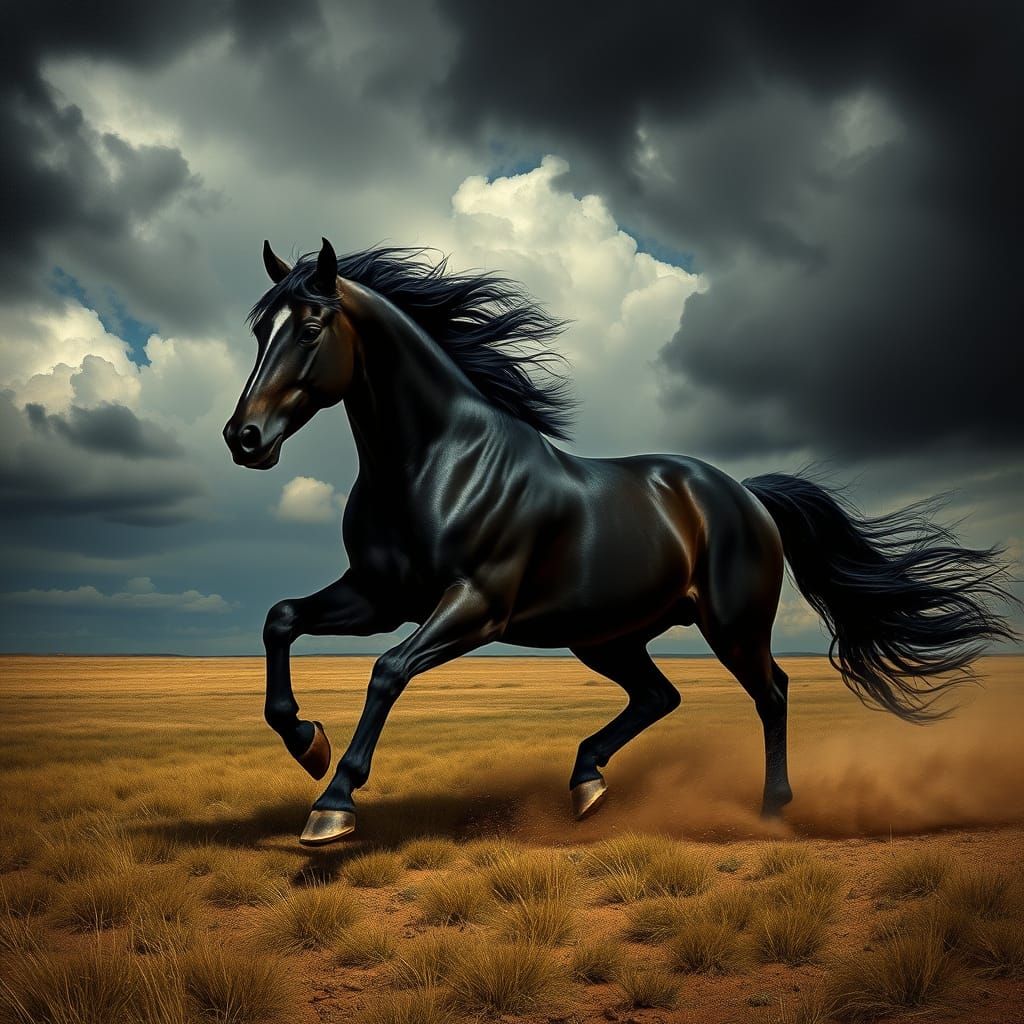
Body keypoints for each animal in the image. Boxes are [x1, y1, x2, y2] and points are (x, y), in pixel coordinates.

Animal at [223, 237, 1017, 847]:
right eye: (260, 329)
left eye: (311, 325)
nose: (243, 438)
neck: (434, 464)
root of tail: (746, 495)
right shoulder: (379, 596)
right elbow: (281, 619)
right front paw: (308, 743)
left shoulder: (475, 606)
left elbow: (387, 670)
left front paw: (332, 805)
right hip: (605, 635)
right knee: (660, 695)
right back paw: (587, 782)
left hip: (729, 626)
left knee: (772, 692)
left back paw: (770, 809)